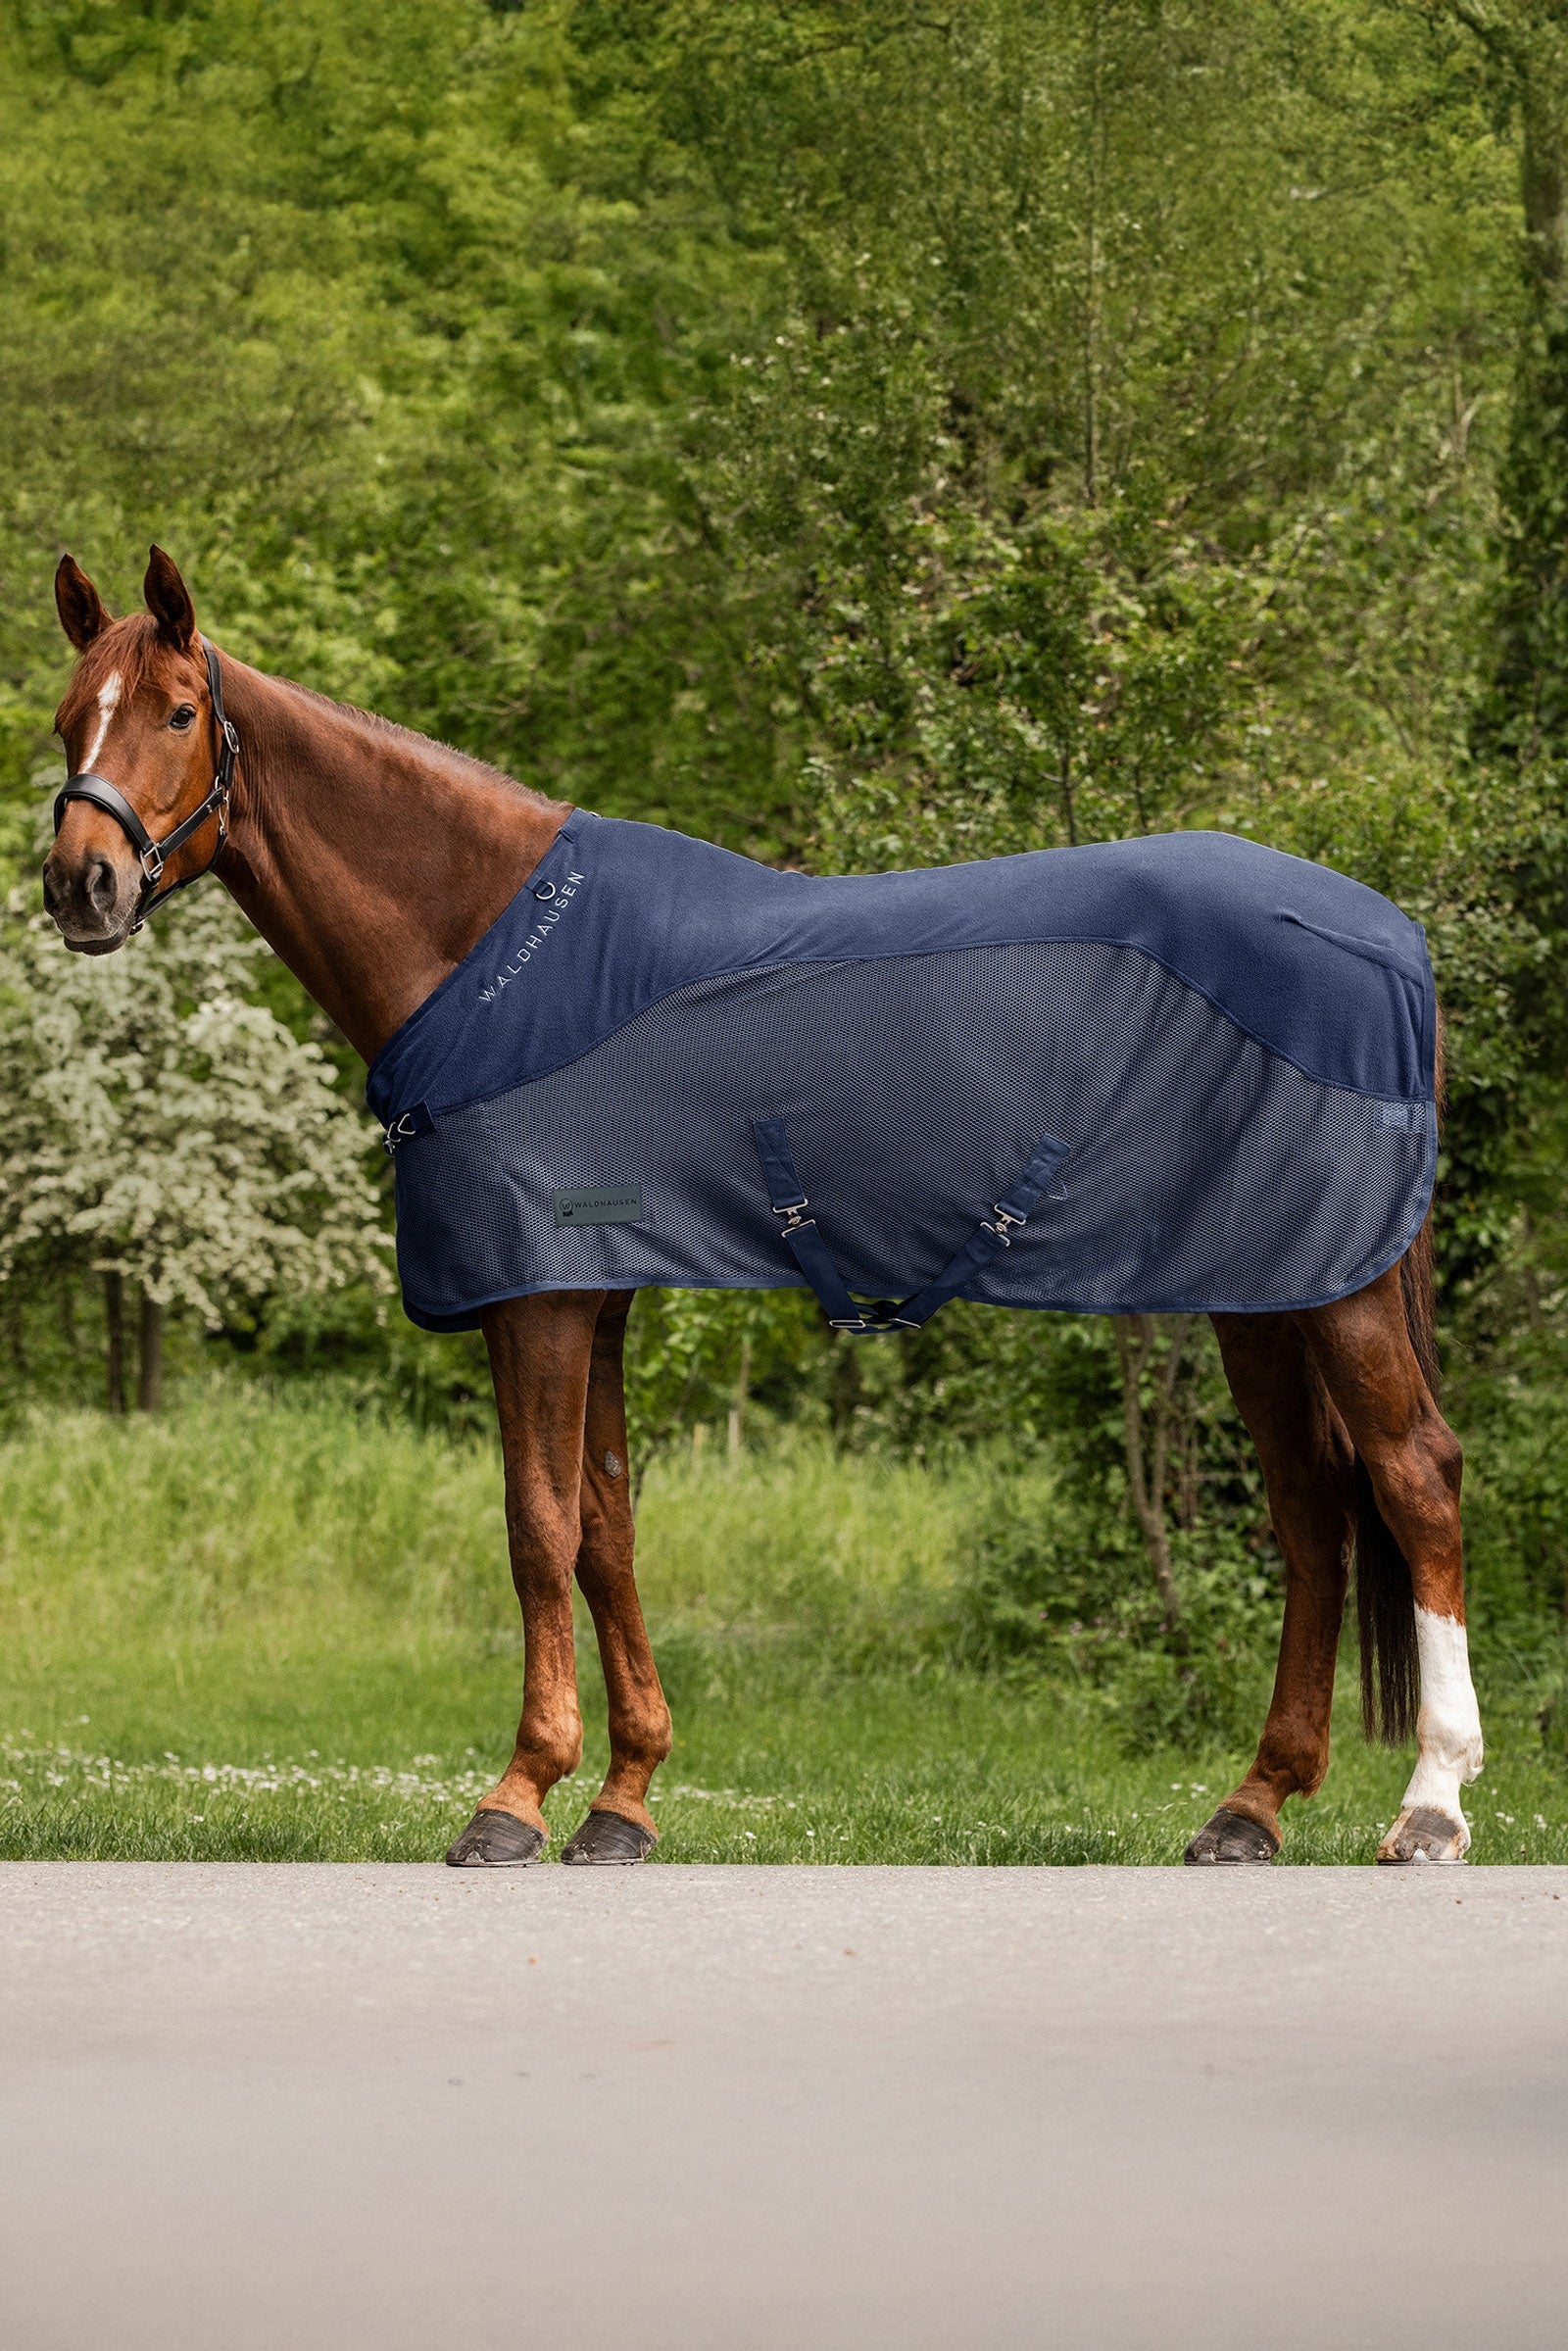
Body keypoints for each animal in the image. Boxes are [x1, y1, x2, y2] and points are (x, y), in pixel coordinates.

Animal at [41, 546, 1484, 1868]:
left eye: (177, 710)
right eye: (67, 717)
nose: (78, 884)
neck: (493, 953)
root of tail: (1389, 934)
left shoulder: (538, 1290)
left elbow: (537, 1526)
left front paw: (517, 1794)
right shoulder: (596, 1290)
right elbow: (608, 1528)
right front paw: (622, 1800)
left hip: (1339, 1291)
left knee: (1413, 1480)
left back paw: (1429, 1804)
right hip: (1265, 1292)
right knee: (1310, 1513)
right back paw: (1251, 1806)